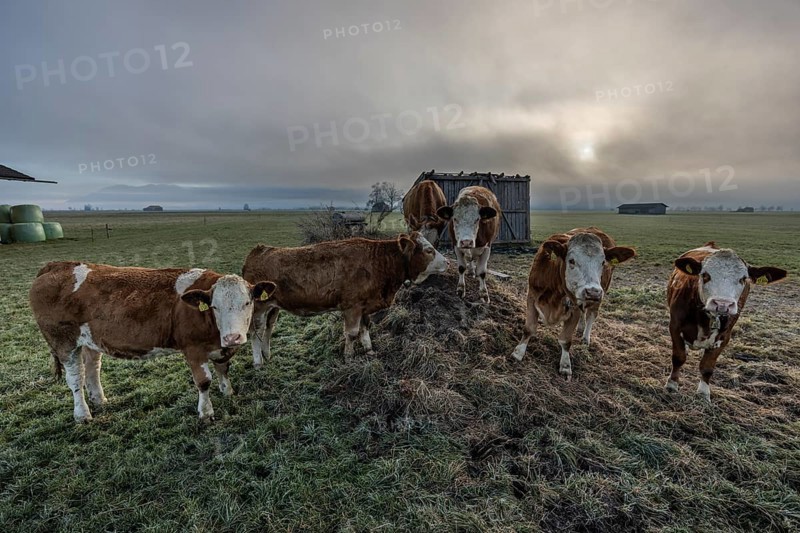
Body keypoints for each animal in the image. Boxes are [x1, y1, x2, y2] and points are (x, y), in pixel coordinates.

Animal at [29, 262, 276, 423]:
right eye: (215, 306)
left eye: (247, 303)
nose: (233, 337)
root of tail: (56, 265)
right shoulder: (193, 349)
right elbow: (204, 382)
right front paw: (206, 413)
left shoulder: (219, 348)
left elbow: (223, 369)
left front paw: (228, 392)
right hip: (64, 342)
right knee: (75, 378)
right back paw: (82, 415)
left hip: (91, 340)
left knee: (92, 369)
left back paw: (99, 399)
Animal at [242, 232, 448, 366]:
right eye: (429, 250)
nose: (447, 262)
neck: (379, 263)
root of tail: (261, 249)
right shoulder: (352, 307)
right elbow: (352, 333)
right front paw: (349, 357)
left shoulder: (365, 306)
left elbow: (365, 328)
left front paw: (369, 350)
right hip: (259, 307)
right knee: (255, 331)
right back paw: (258, 362)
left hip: (273, 306)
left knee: (268, 328)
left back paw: (267, 354)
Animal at [511, 227, 636, 379]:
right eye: (571, 260)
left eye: (603, 262)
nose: (593, 292)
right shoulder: (532, 297)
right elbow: (528, 329)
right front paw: (518, 353)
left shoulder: (575, 309)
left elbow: (565, 340)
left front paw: (565, 365)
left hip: (600, 295)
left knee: (591, 315)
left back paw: (585, 337)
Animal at [666, 243, 787, 400]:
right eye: (705, 275)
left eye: (743, 279)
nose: (722, 303)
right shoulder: (674, 326)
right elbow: (678, 357)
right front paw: (672, 385)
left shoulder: (725, 337)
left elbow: (707, 367)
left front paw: (703, 393)